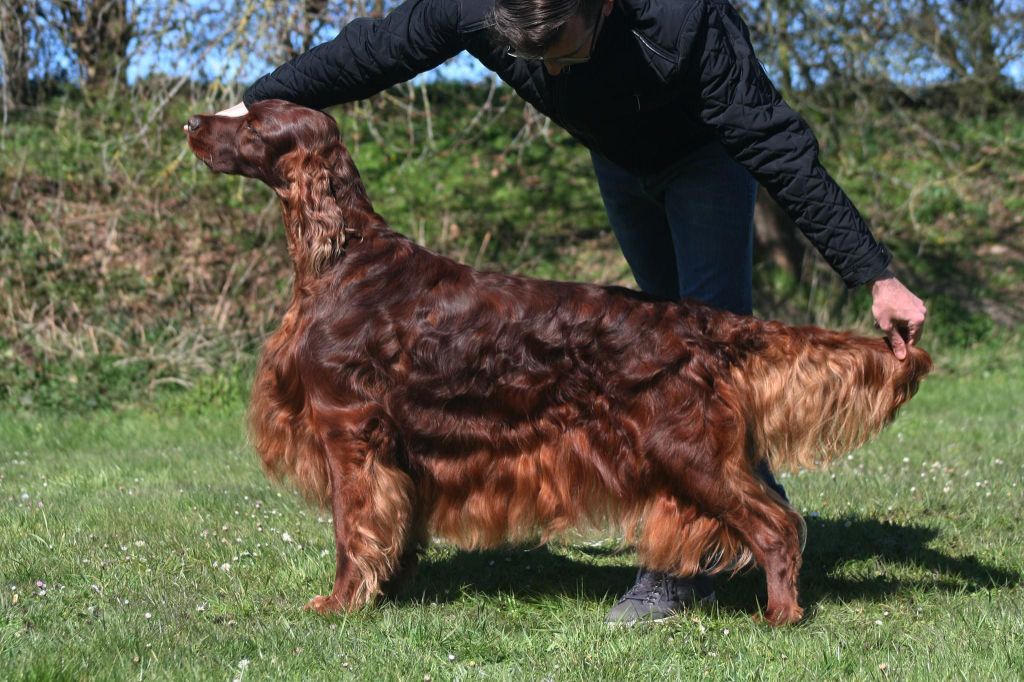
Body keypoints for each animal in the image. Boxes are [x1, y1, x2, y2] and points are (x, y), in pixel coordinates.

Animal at [184, 98, 929, 622]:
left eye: (252, 119)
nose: (190, 121)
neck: (344, 259)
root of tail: (700, 321)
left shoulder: (348, 429)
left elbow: (351, 527)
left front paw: (340, 602)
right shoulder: (397, 450)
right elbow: (392, 527)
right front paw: (390, 587)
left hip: (687, 449)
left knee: (776, 526)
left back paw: (782, 613)